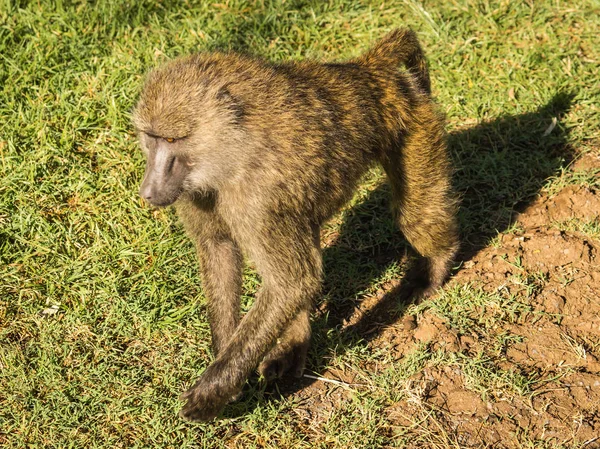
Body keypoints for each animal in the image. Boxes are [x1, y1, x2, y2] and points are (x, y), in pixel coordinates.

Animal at [132, 28, 460, 420]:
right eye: (150, 139)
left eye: (172, 139)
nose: (150, 191)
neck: (233, 147)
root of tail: (368, 71)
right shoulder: (199, 193)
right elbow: (221, 251)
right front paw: (228, 362)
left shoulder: (259, 198)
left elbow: (292, 282)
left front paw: (212, 392)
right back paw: (294, 347)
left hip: (416, 127)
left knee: (414, 217)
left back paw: (434, 271)